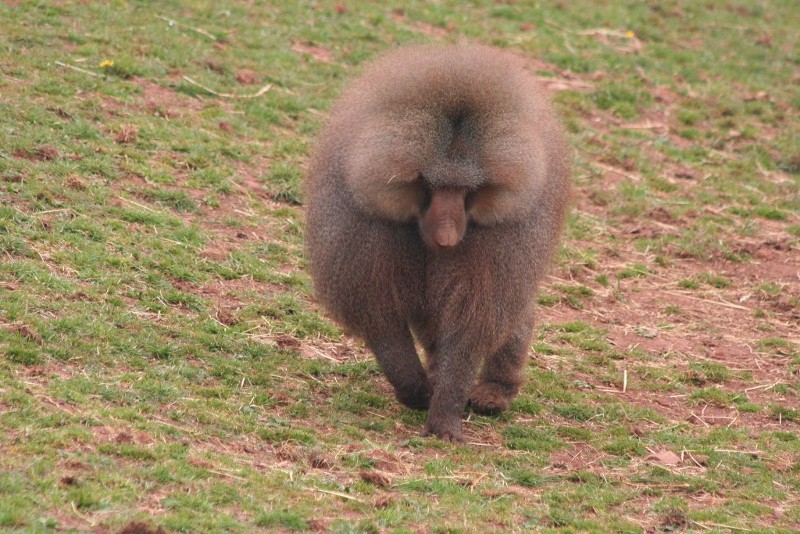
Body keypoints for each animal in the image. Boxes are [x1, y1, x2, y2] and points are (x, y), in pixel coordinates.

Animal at [304, 44, 570, 443]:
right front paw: (416, 389)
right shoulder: (365, 219)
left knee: (512, 312)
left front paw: (444, 413)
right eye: (431, 185)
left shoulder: (501, 235)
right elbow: (380, 313)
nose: (446, 237)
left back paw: (495, 391)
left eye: (467, 190)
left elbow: (472, 323)